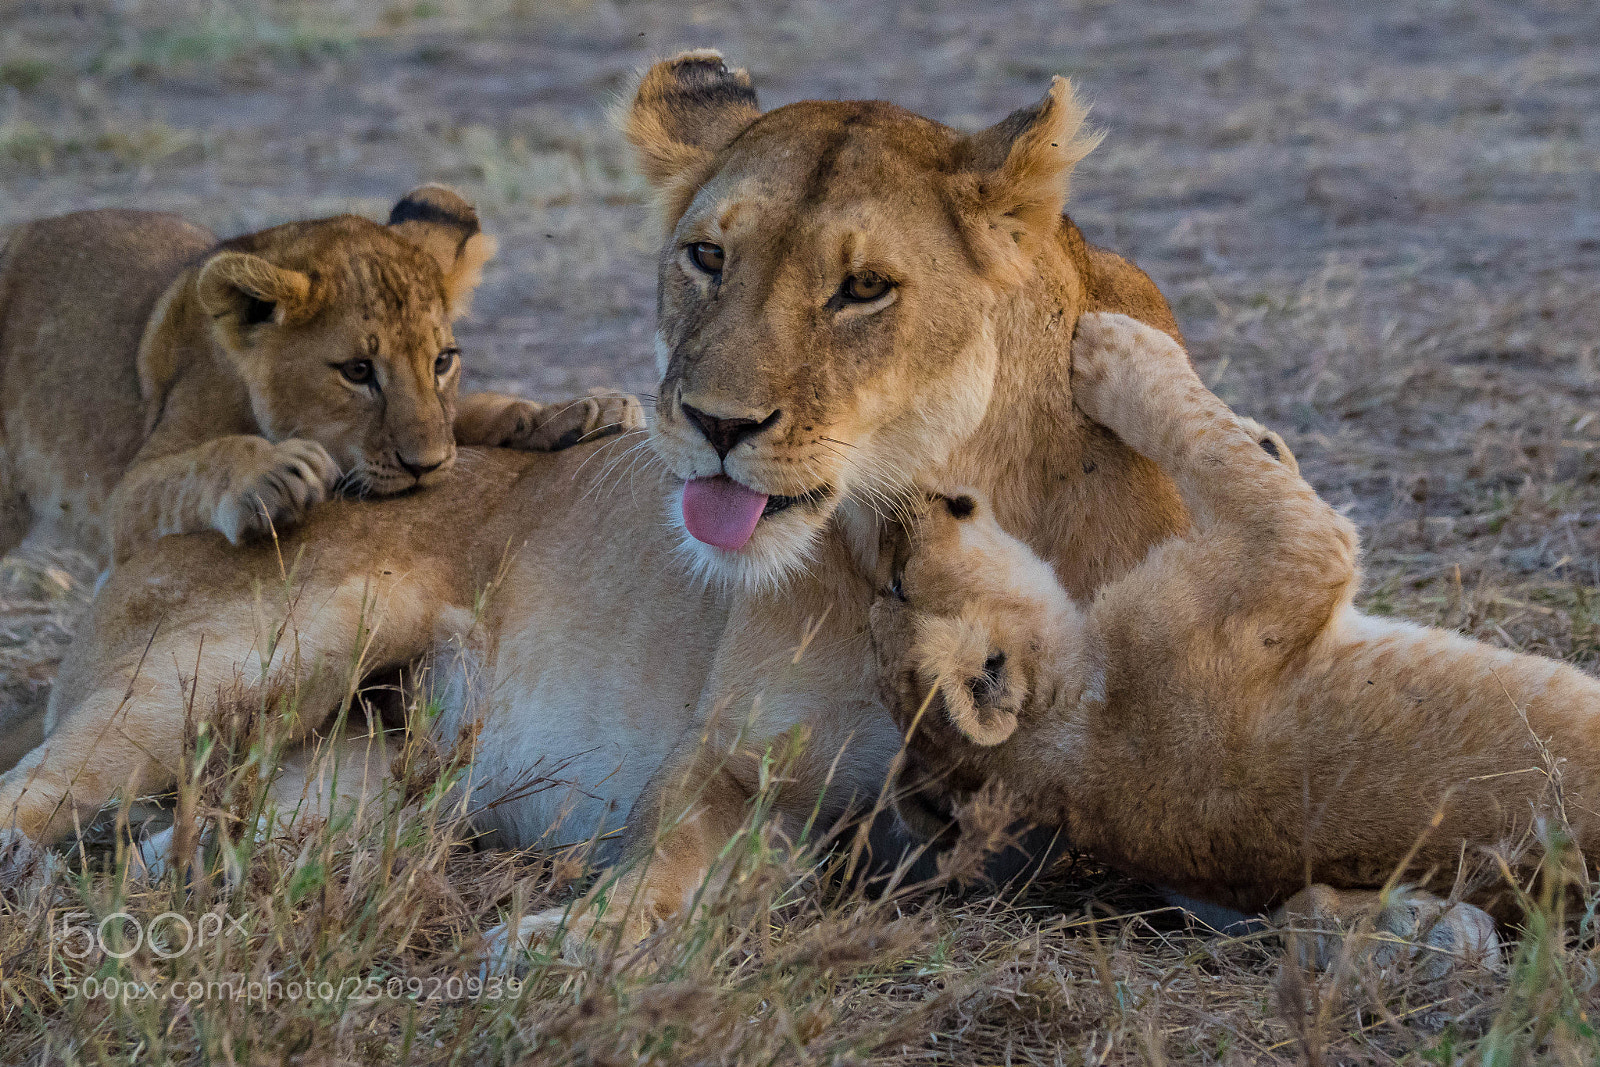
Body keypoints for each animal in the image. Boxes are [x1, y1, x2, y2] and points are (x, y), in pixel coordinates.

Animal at [0, 186, 641, 564]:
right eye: (357, 371)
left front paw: (579, 411)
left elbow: (471, 410)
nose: (427, 467)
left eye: (441, 361)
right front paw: (273, 471)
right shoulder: (125, 500)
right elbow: (203, 462)